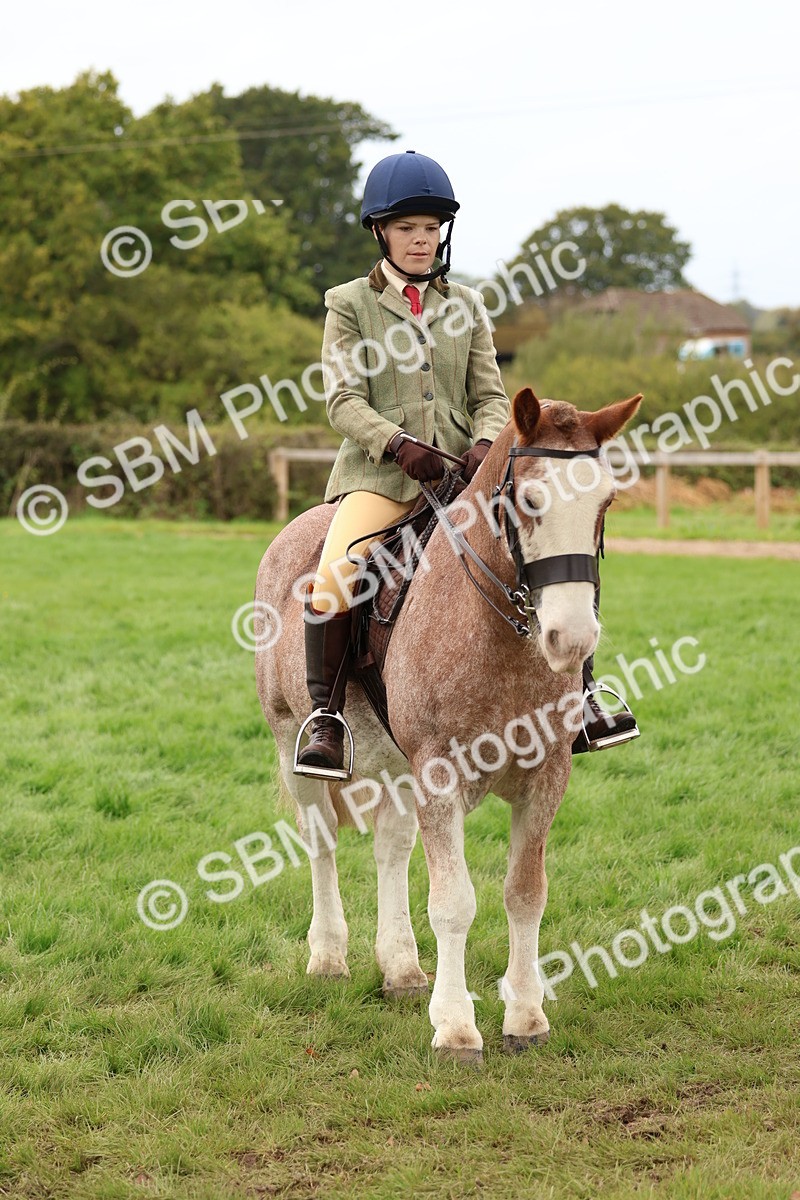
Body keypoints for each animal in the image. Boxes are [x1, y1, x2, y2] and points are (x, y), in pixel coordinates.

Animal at [254, 386, 641, 1063]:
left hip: (395, 765)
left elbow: (525, 892)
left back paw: (402, 969)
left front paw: (526, 1016)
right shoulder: (439, 774)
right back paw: (328, 956)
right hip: (291, 740)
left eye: (606, 502)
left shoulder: (546, 776)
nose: (572, 639)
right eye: (529, 501)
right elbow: (455, 902)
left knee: (390, 846)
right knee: (321, 838)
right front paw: (457, 1027)